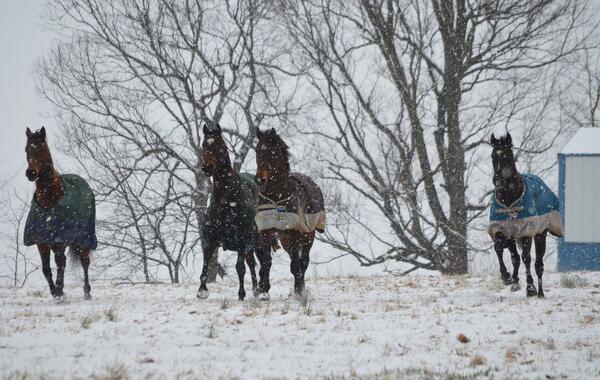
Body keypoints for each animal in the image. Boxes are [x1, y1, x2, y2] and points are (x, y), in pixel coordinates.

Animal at [23, 127, 96, 300]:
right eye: (27, 149)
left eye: (42, 148)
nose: (30, 173)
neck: (49, 201)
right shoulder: (42, 241)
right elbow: (46, 268)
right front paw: (55, 291)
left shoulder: (60, 239)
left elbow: (60, 262)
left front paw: (59, 290)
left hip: (84, 238)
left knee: (84, 261)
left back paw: (87, 291)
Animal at [197, 123, 260, 302]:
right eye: (204, 145)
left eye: (219, 145)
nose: (206, 168)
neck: (226, 202)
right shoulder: (210, 239)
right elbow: (206, 261)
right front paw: (202, 290)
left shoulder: (242, 241)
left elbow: (240, 268)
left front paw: (241, 294)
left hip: (252, 242)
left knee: (250, 263)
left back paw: (256, 290)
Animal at [254, 127, 328, 300]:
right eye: (257, 150)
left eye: (272, 151)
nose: (259, 179)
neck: (277, 197)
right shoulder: (266, 231)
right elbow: (266, 261)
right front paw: (263, 290)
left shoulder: (293, 233)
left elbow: (296, 264)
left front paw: (299, 291)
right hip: (284, 239)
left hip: (307, 236)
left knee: (303, 261)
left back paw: (301, 287)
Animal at [488, 132, 564, 298]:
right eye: (493, 155)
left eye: (508, 155)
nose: (498, 181)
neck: (509, 200)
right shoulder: (503, 230)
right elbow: (501, 249)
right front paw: (507, 277)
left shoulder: (526, 232)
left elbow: (526, 258)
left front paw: (530, 288)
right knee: (515, 258)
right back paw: (515, 281)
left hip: (541, 234)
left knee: (538, 264)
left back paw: (540, 292)